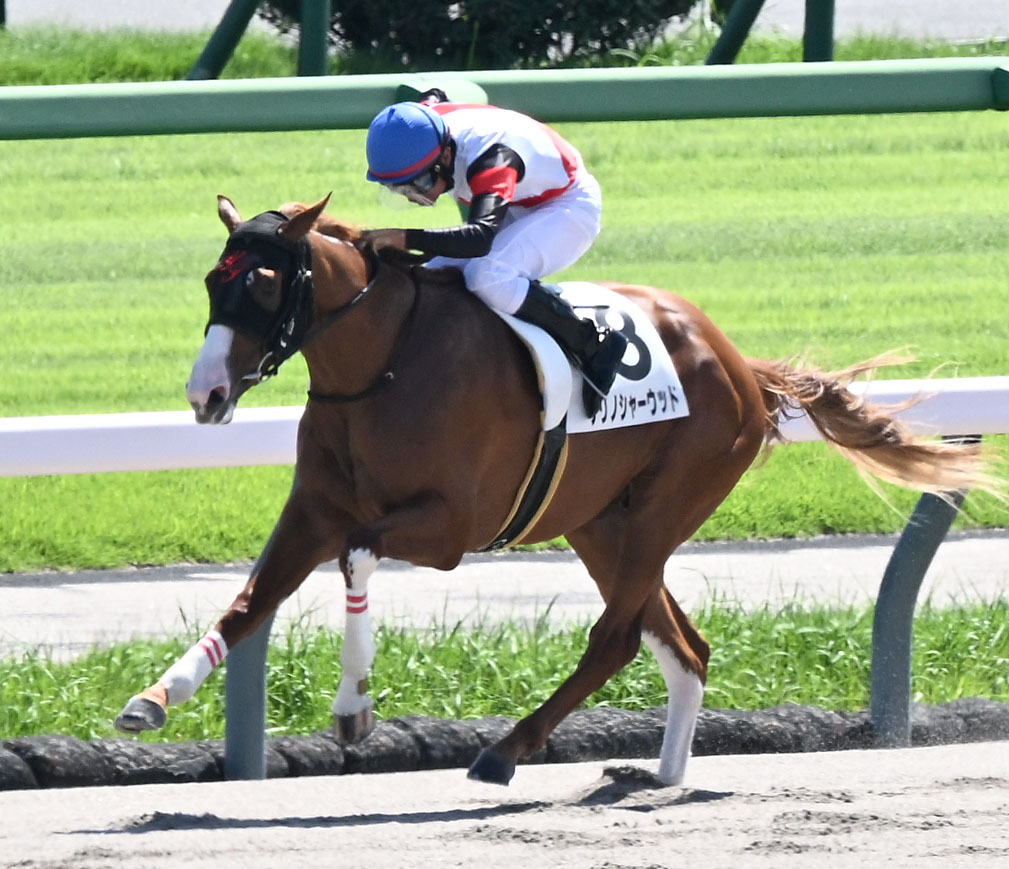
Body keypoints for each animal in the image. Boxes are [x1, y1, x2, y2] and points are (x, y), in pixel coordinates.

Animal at [115, 194, 993, 787]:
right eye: (211, 279)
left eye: (264, 284)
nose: (206, 395)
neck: (384, 364)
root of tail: (738, 362)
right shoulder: (315, 509)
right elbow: (249, 602)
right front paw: (155, 696)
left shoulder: (448, 528)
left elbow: (358, 559)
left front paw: (354, 708)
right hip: (601, 522)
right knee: (679, 641)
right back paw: (662, 774)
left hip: (669, 502)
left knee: (615, 638)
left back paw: (505, 749)